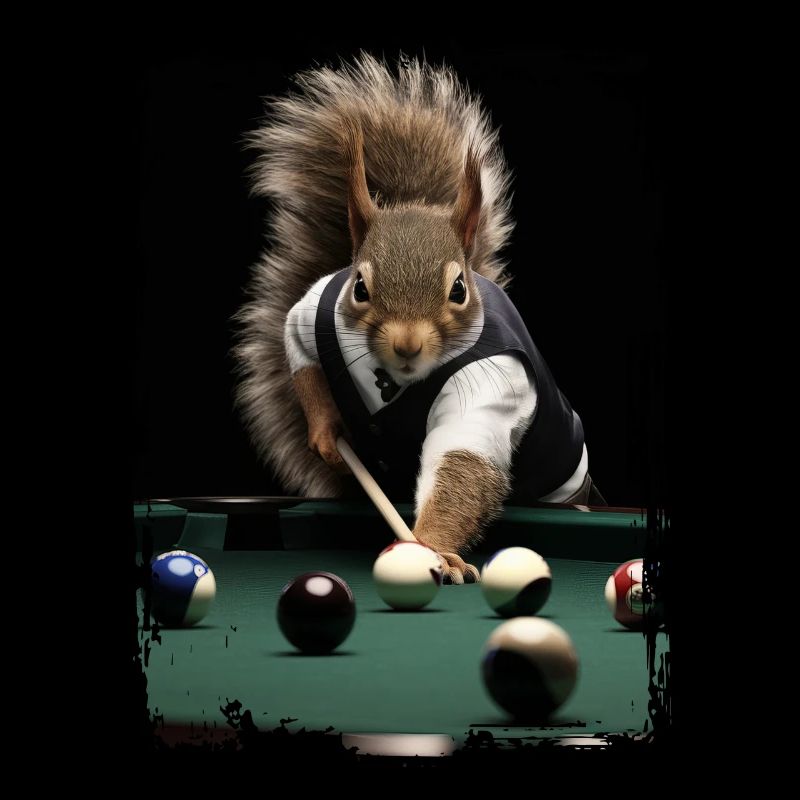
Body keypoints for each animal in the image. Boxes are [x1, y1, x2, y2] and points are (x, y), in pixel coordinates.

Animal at [234, 53, 604, 584]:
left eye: (458, 290)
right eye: (360, 287)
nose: (407, 344)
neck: (393, 380)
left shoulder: (490, 385)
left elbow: (464, 459)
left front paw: (437, 548)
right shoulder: (321, 307)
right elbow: (297, 339)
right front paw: (327, 431)